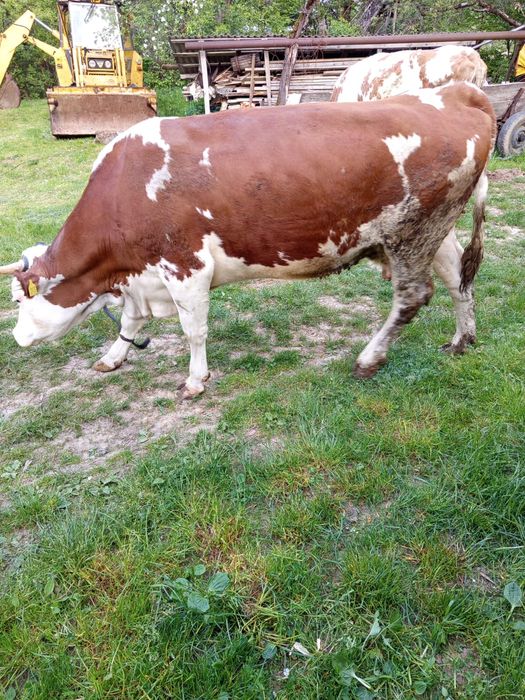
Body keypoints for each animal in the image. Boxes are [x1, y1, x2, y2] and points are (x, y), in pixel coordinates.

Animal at [0, 83, 495, 398]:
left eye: (21, 299)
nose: (17, 336)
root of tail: (455, 94)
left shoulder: (185, 265)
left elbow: (193, 329)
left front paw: (195, 381)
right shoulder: (143, 276)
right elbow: (130, 322)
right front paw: (113, 357)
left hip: (412, 233)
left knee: (413, 297)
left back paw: (369, 358)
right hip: (435, 231)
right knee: (458, 280)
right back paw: (462, 340)